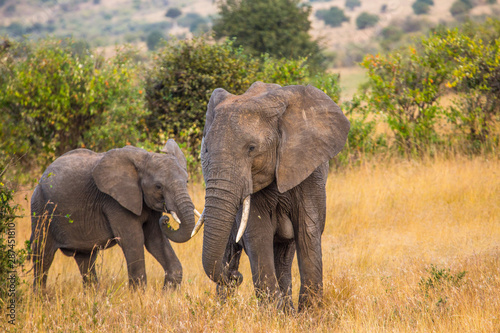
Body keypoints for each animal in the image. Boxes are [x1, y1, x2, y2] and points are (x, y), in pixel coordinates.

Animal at [29, 139, 199, 290]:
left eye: (187, 181)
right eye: (158, 186)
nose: (166, 219)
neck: (145, 159)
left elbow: (155, 240)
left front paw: (166, 294)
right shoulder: (115, 202)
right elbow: (133, 239)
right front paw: (138, 296)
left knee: (85, 258)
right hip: (41, 209)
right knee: (43, 256)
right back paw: (40, 299)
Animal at [193, 81, 350, 310]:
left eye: (251, 148)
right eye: (205, 151)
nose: (236, 276)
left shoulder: (309, 169)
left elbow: (308, 229)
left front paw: (310, 313)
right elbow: (258, 234)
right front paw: (273, 313)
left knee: (283, 257)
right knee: (232, 249)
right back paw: (225, 310)